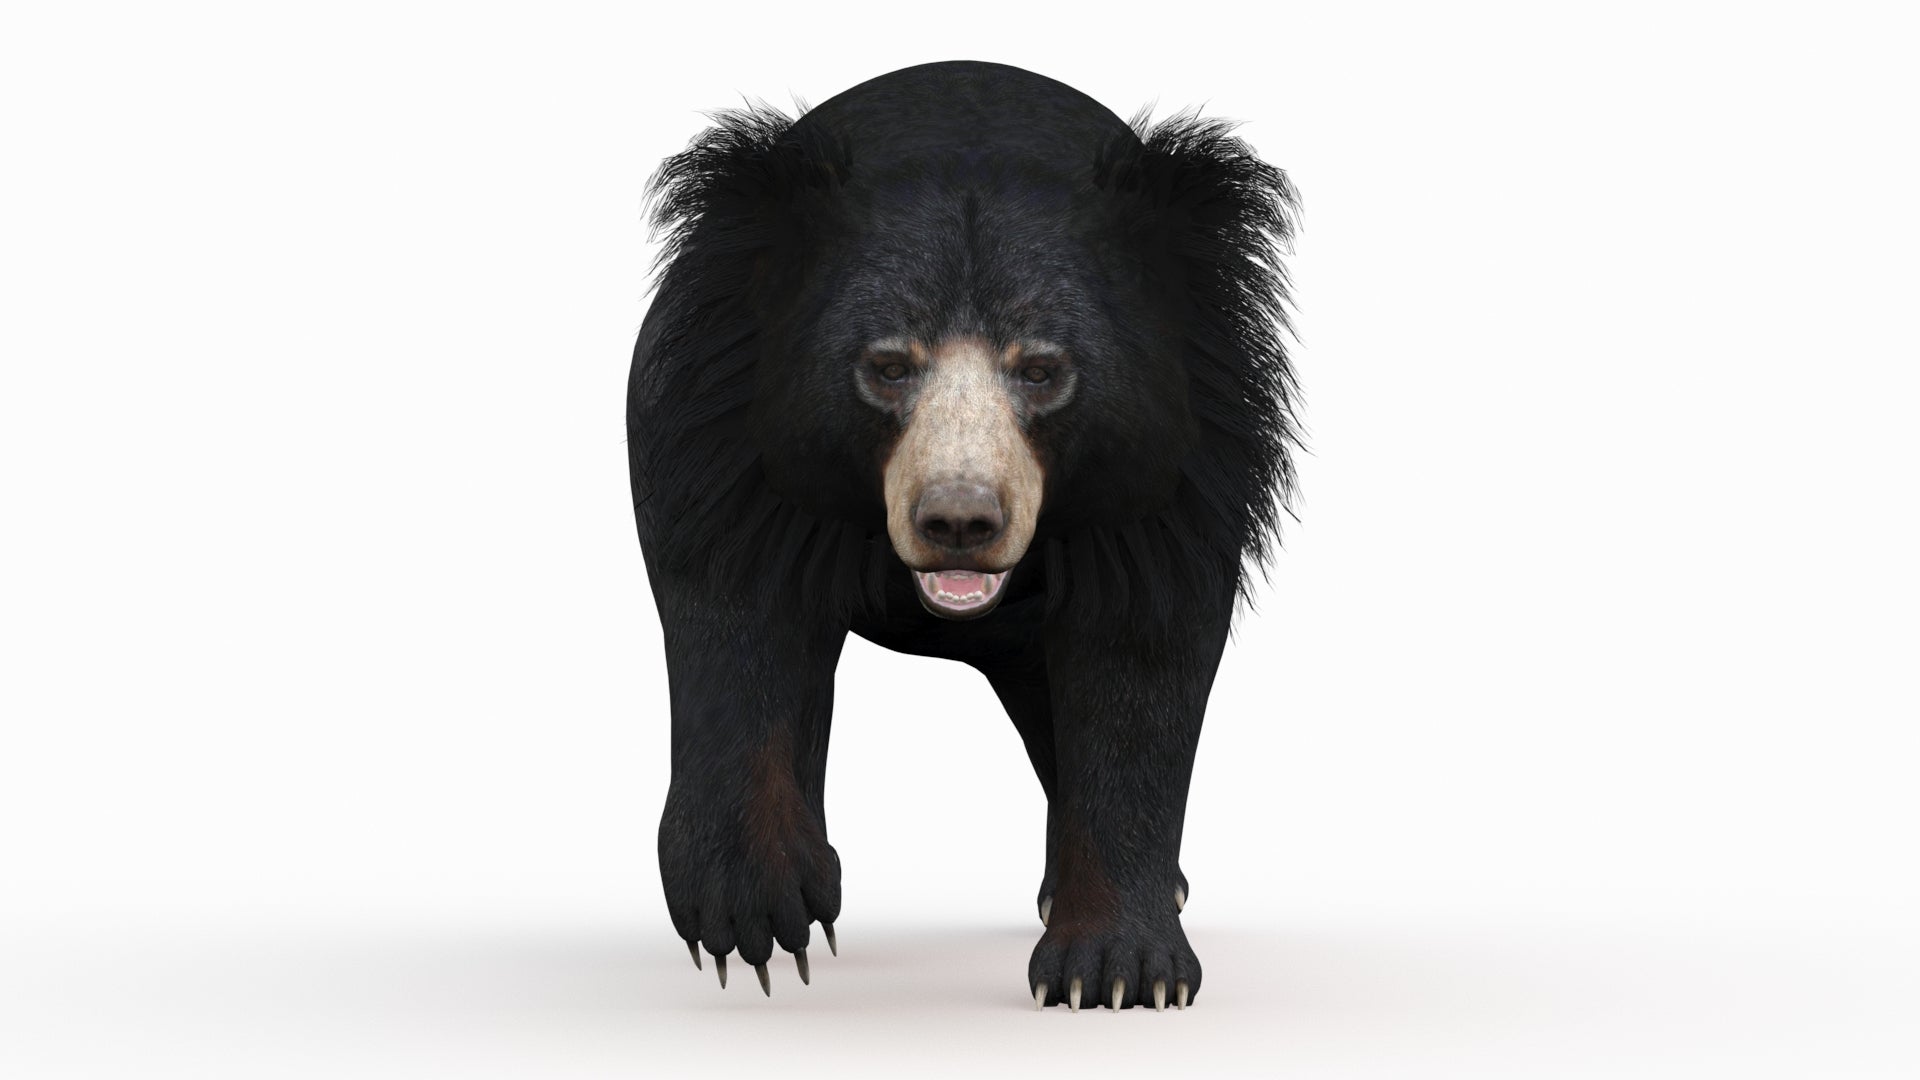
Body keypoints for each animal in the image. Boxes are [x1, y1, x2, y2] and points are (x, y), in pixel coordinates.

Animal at [628, 60, 1299, 1011]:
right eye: (886, 365)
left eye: (1044, 370)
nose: (958, 521)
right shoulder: (719, 434)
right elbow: (735, 617)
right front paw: (754, 916)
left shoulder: (1173, 475)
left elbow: (1140, 667)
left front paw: (1120, 969)